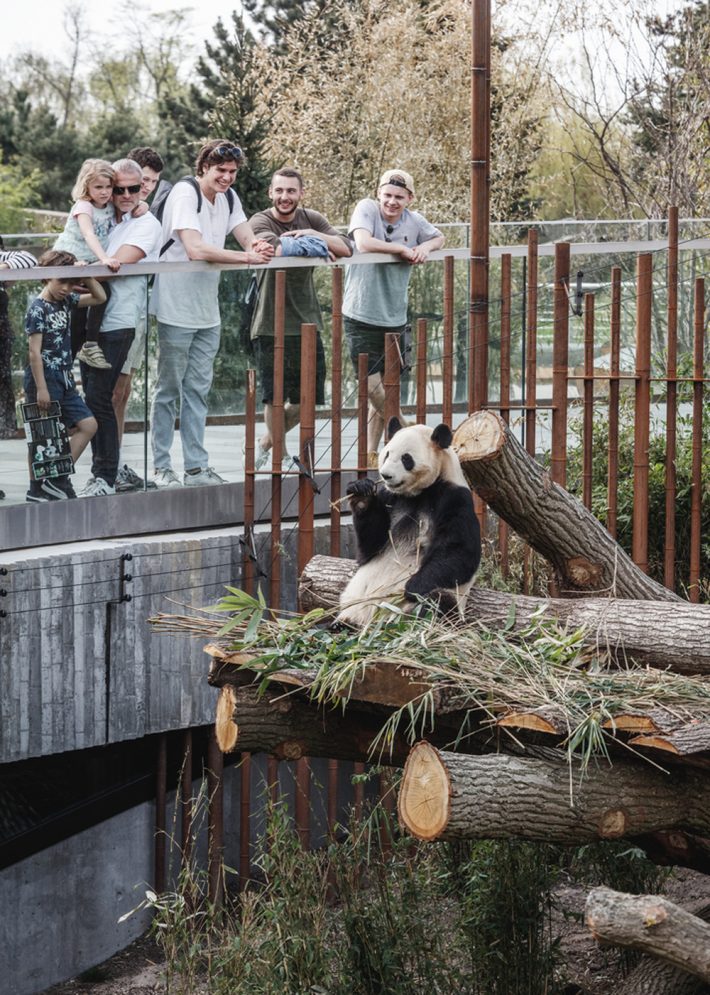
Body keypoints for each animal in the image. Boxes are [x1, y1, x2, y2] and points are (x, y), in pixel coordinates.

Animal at [338, 417, 481, 627]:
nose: (386, 475)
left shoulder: (454, 498)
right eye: (387, 454)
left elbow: (460, 551)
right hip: (354, 607)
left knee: (437, 602)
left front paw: (412, 586)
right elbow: (369, 548)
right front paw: (361, 493)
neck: (418, 493)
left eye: (406, 459)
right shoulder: (390, 497)